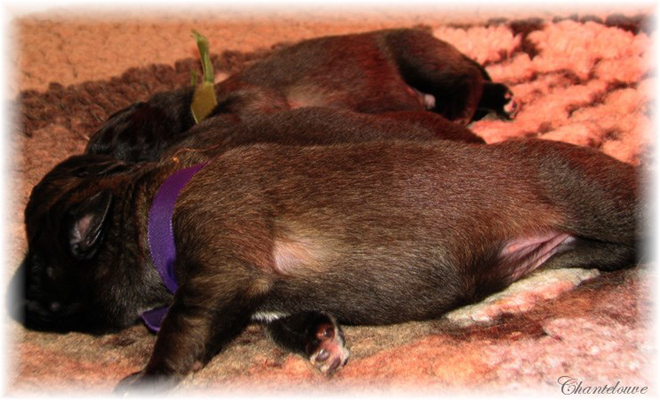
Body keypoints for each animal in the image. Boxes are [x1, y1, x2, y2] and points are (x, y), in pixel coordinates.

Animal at [11, 124, 640, 390]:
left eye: (41, 269)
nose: (14, 306)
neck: (153, 212)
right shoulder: (266, 299)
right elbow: (291, 321)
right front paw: (322, 342)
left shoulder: (218, 273)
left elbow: (181, 330)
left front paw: (150, 375)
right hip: (595, 245)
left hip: (596, 200)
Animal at [85, 27, 512, 162]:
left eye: (124, 141)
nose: (88, 159)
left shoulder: (253, 99)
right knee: (476, 79)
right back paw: (504, 100)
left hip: (414, 55)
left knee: (465, 77)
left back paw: (460, 108)